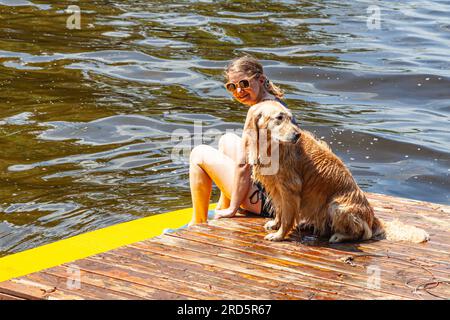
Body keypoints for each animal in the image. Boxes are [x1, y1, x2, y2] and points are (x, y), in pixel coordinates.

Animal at [244, 101, 430, 244]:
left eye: (291, 118)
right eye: (279, 118)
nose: (297, 135)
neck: (270, 147)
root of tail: (373, 218)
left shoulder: (290, 188)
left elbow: (287, 216)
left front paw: (279, 235)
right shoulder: (276, 186)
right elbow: (280, 209)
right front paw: (275, 225)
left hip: (336, 206)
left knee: (361, 234)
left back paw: (339, 236)